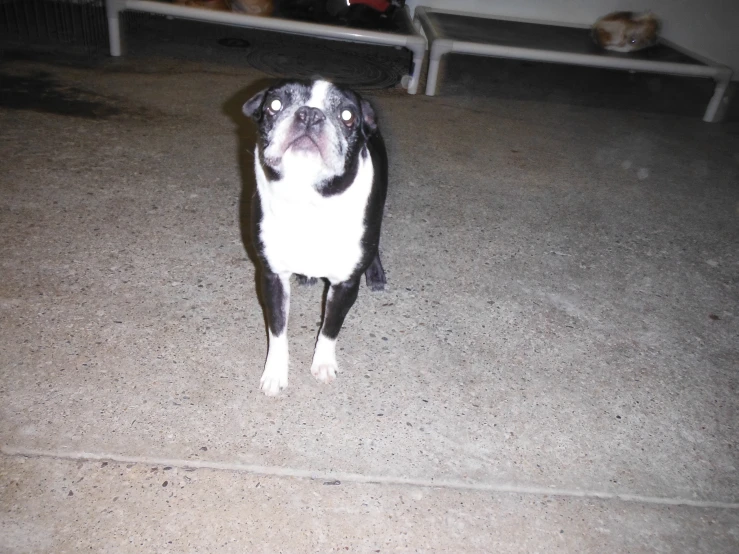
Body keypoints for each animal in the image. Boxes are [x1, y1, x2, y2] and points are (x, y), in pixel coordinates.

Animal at [244, 80, 394, 394]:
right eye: (274, 105)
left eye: (347, 115)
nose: (310, 115)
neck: (308, 200)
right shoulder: (272, 276)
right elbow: (277, 328)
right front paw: (275, 373)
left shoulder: (345, 285)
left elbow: (330, 326)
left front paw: (323, 364)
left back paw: (375, 273)